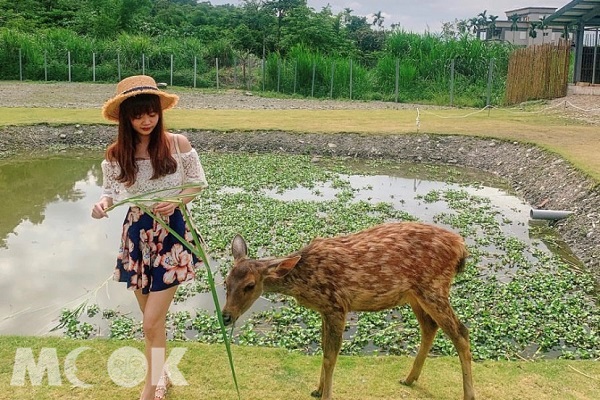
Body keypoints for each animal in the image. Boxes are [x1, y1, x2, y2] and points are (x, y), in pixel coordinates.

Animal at [223, 222, 476, 400]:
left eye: (250, 285)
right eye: (225, 282)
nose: (226, 316)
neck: (305, 282)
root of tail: (461, 247)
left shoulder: (337, 305)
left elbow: (331, 357)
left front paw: (325, 394)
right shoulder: (325, 309)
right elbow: (323, 349)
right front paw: (317, 389)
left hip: (434, 287)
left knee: (461, 332)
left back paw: (468, 394)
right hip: (415, 294)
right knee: (430, 327)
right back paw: (409, 379)